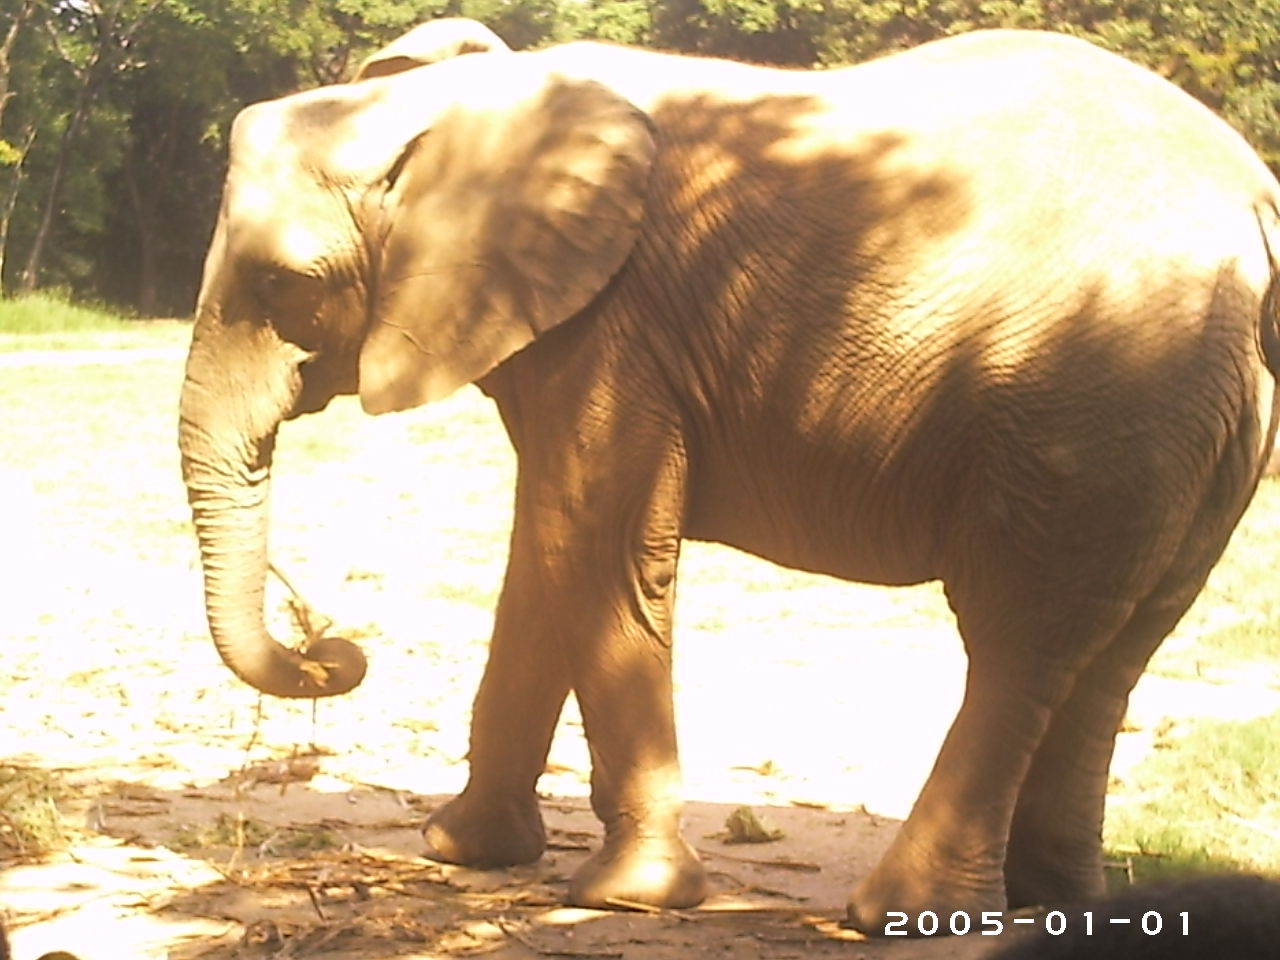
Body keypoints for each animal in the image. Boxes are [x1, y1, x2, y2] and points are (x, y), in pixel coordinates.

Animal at [177, 18, 1280, 934]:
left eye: (286, 284)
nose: (332, 650)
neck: (473, 109)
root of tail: (1255, 205)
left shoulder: (615, 324)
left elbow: (593, 548)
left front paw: (624, 900)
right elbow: (544, 555)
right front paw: (463, 854)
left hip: (1102, 390)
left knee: (1020, 635)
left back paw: (896, 917)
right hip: (1186, 415)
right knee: (1114, 650)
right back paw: (1058, 907)